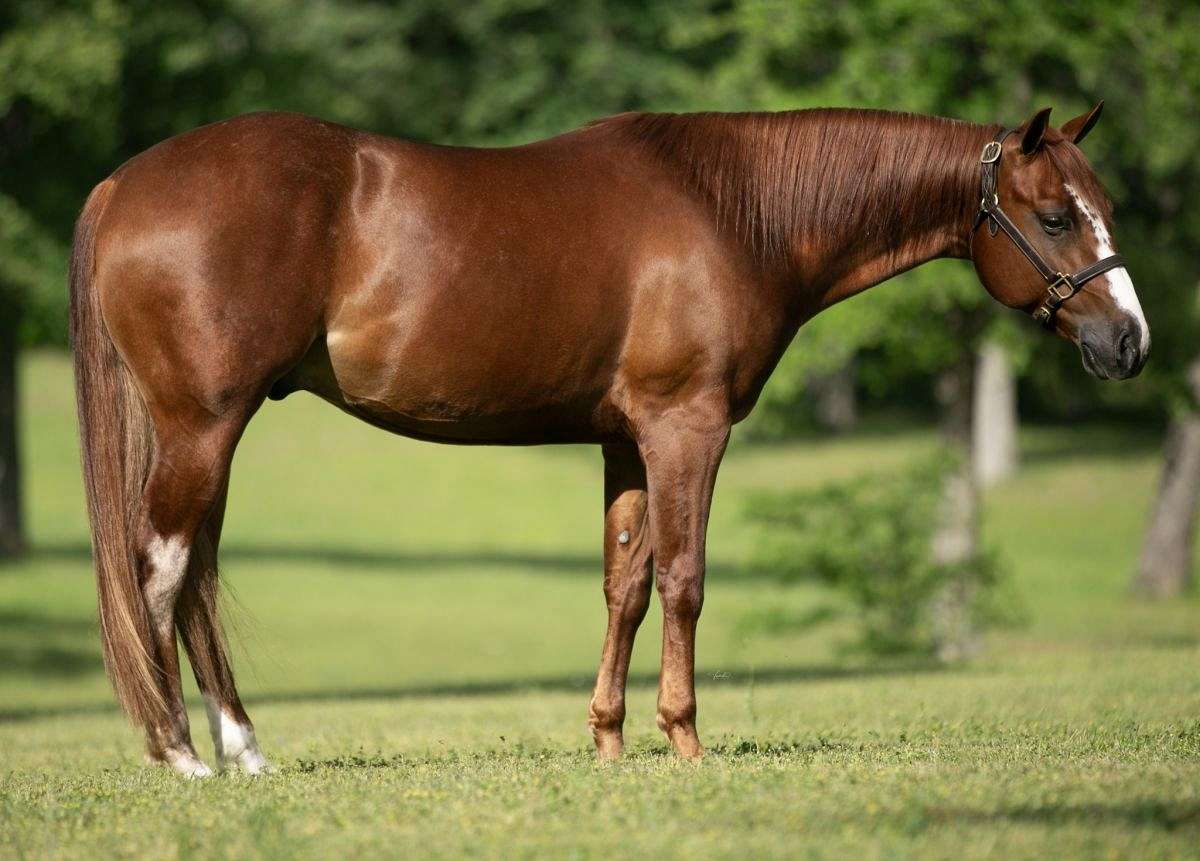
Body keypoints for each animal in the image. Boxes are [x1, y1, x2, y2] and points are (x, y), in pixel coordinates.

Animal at [69, 102, 1148, 776]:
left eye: (1105, 209)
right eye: (1055, 215)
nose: (1129, 342)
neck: (732, 210)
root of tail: (122, 184)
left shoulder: (625, 441)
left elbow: (624, 583)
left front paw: (609, 741)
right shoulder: (686, 427)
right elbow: (684, 579)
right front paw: (686, 741)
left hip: (210, 431)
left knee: (194, 580)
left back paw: (241, 748)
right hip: (203, 425)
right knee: (161, 569)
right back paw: (181, 753)